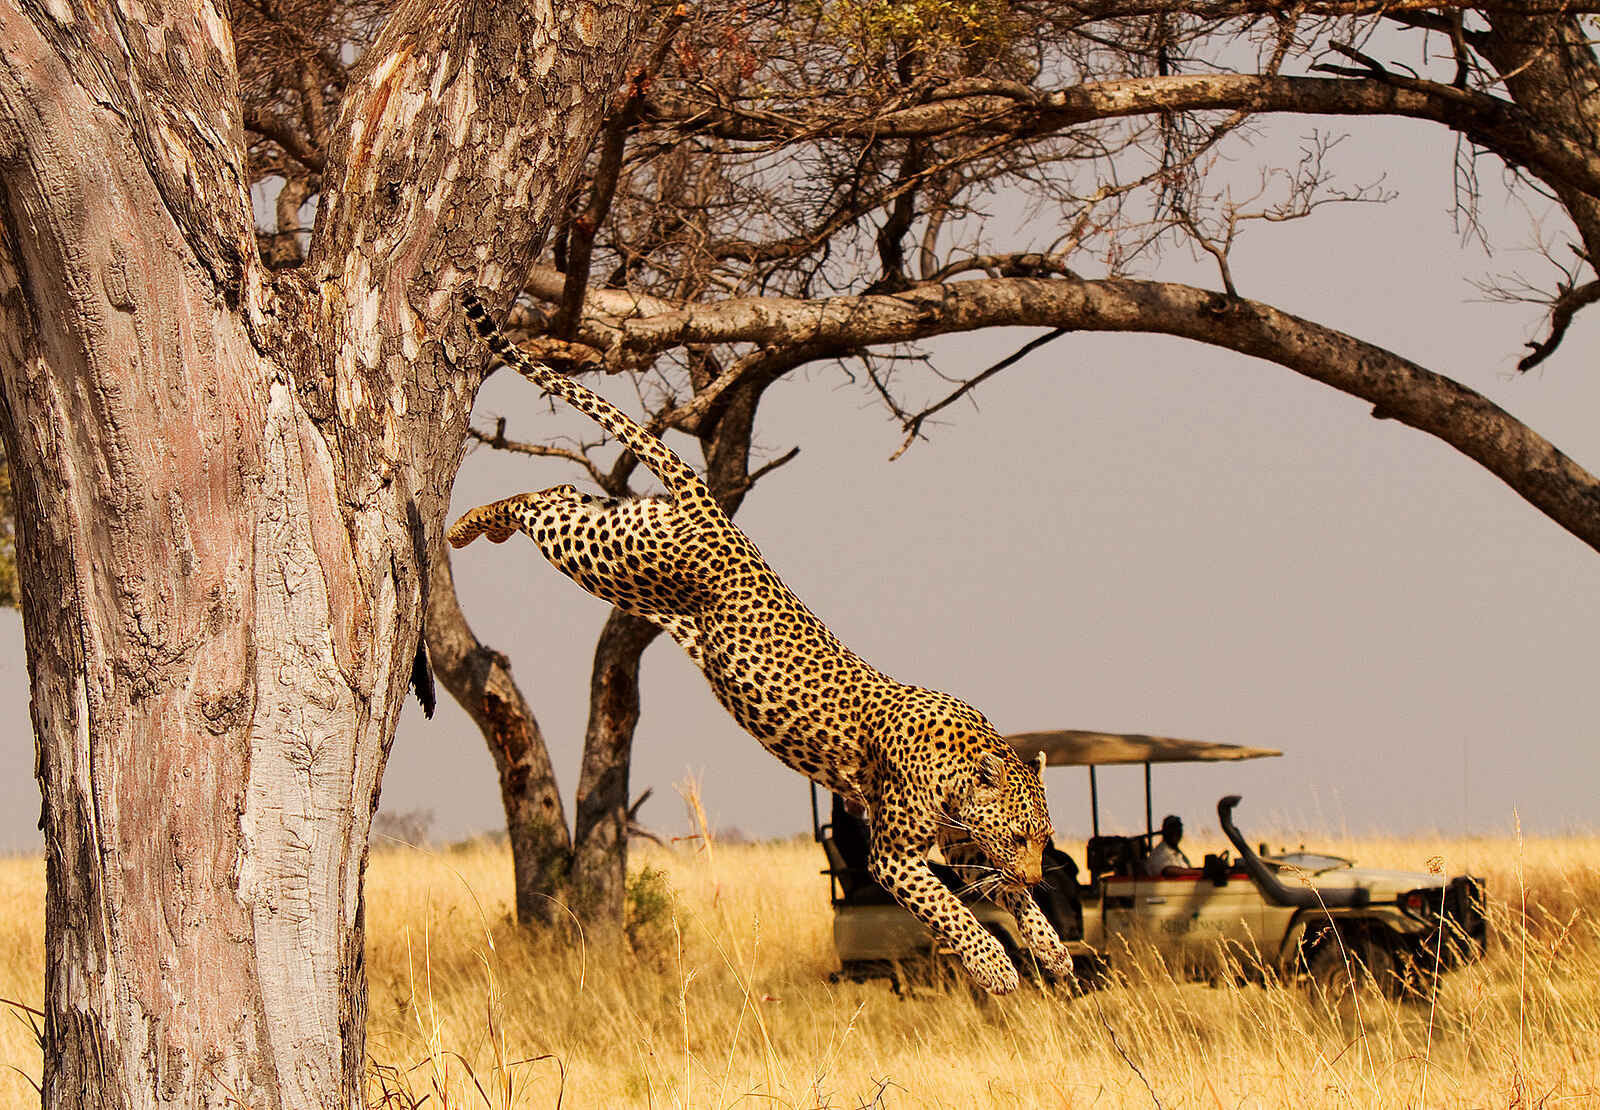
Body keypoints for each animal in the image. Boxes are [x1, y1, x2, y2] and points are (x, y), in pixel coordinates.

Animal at [447, 293, 1070, 993]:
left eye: (1043, 837)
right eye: (1020, 836)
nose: (1040, 871)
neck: (962, 767)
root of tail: (713, 508)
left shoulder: (959, 844)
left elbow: (1004, 897)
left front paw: (1051, 948)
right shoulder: (893, 855)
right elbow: (951, 911)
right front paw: (995, 967)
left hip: (619, 539)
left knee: (561, 492)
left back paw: (478, 523)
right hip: (611, 559)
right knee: (541, 504)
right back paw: (466, 526)